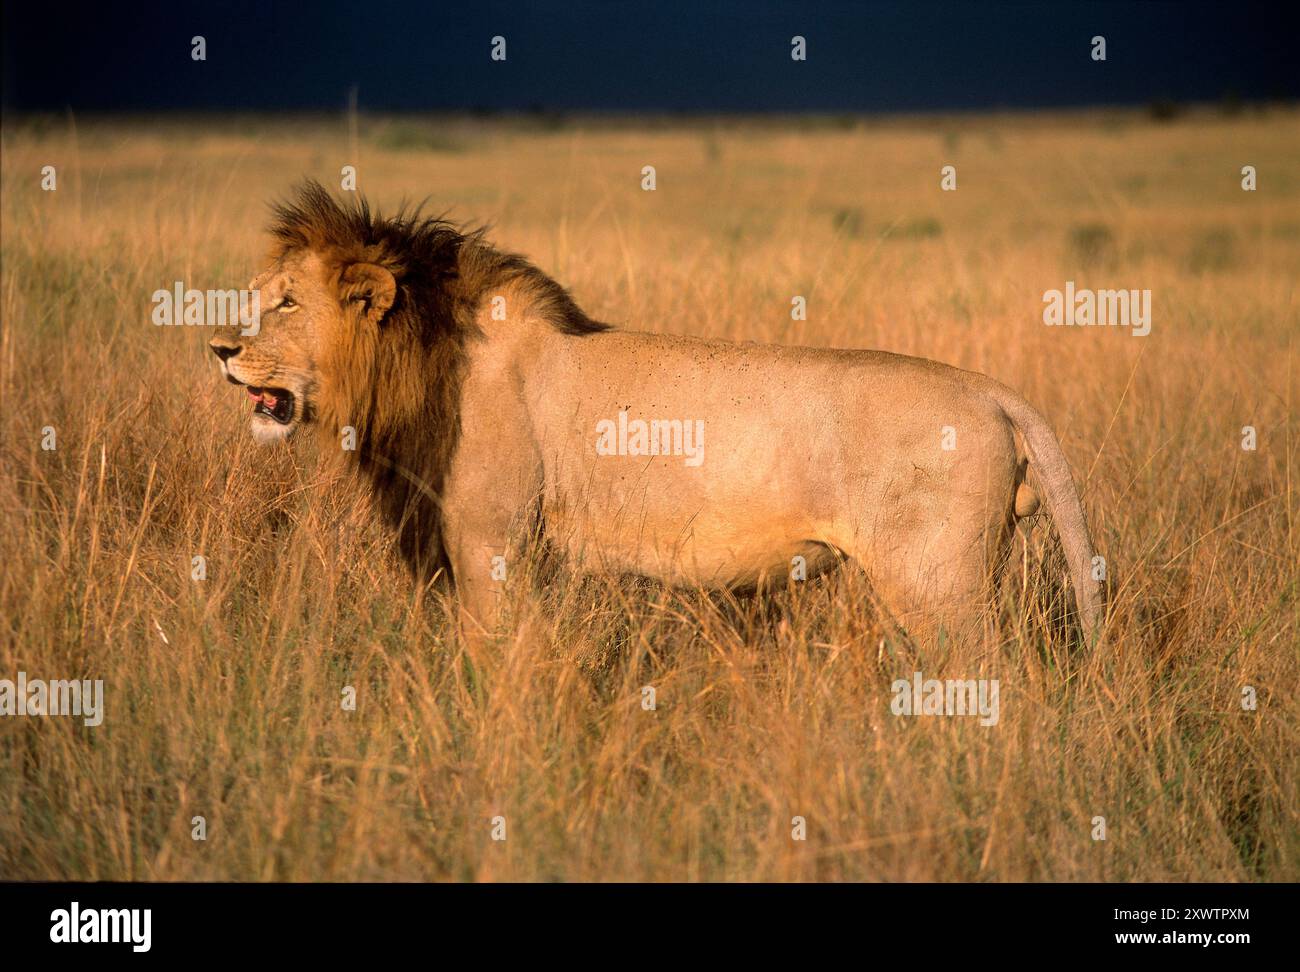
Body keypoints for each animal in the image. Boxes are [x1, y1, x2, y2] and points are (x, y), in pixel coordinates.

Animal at [211, 181, 1104, 645]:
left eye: (285, 304)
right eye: (261, 298)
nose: (220, 348)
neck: (420, 363)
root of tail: (992, 390)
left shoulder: (490, 542)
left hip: (938, 585)